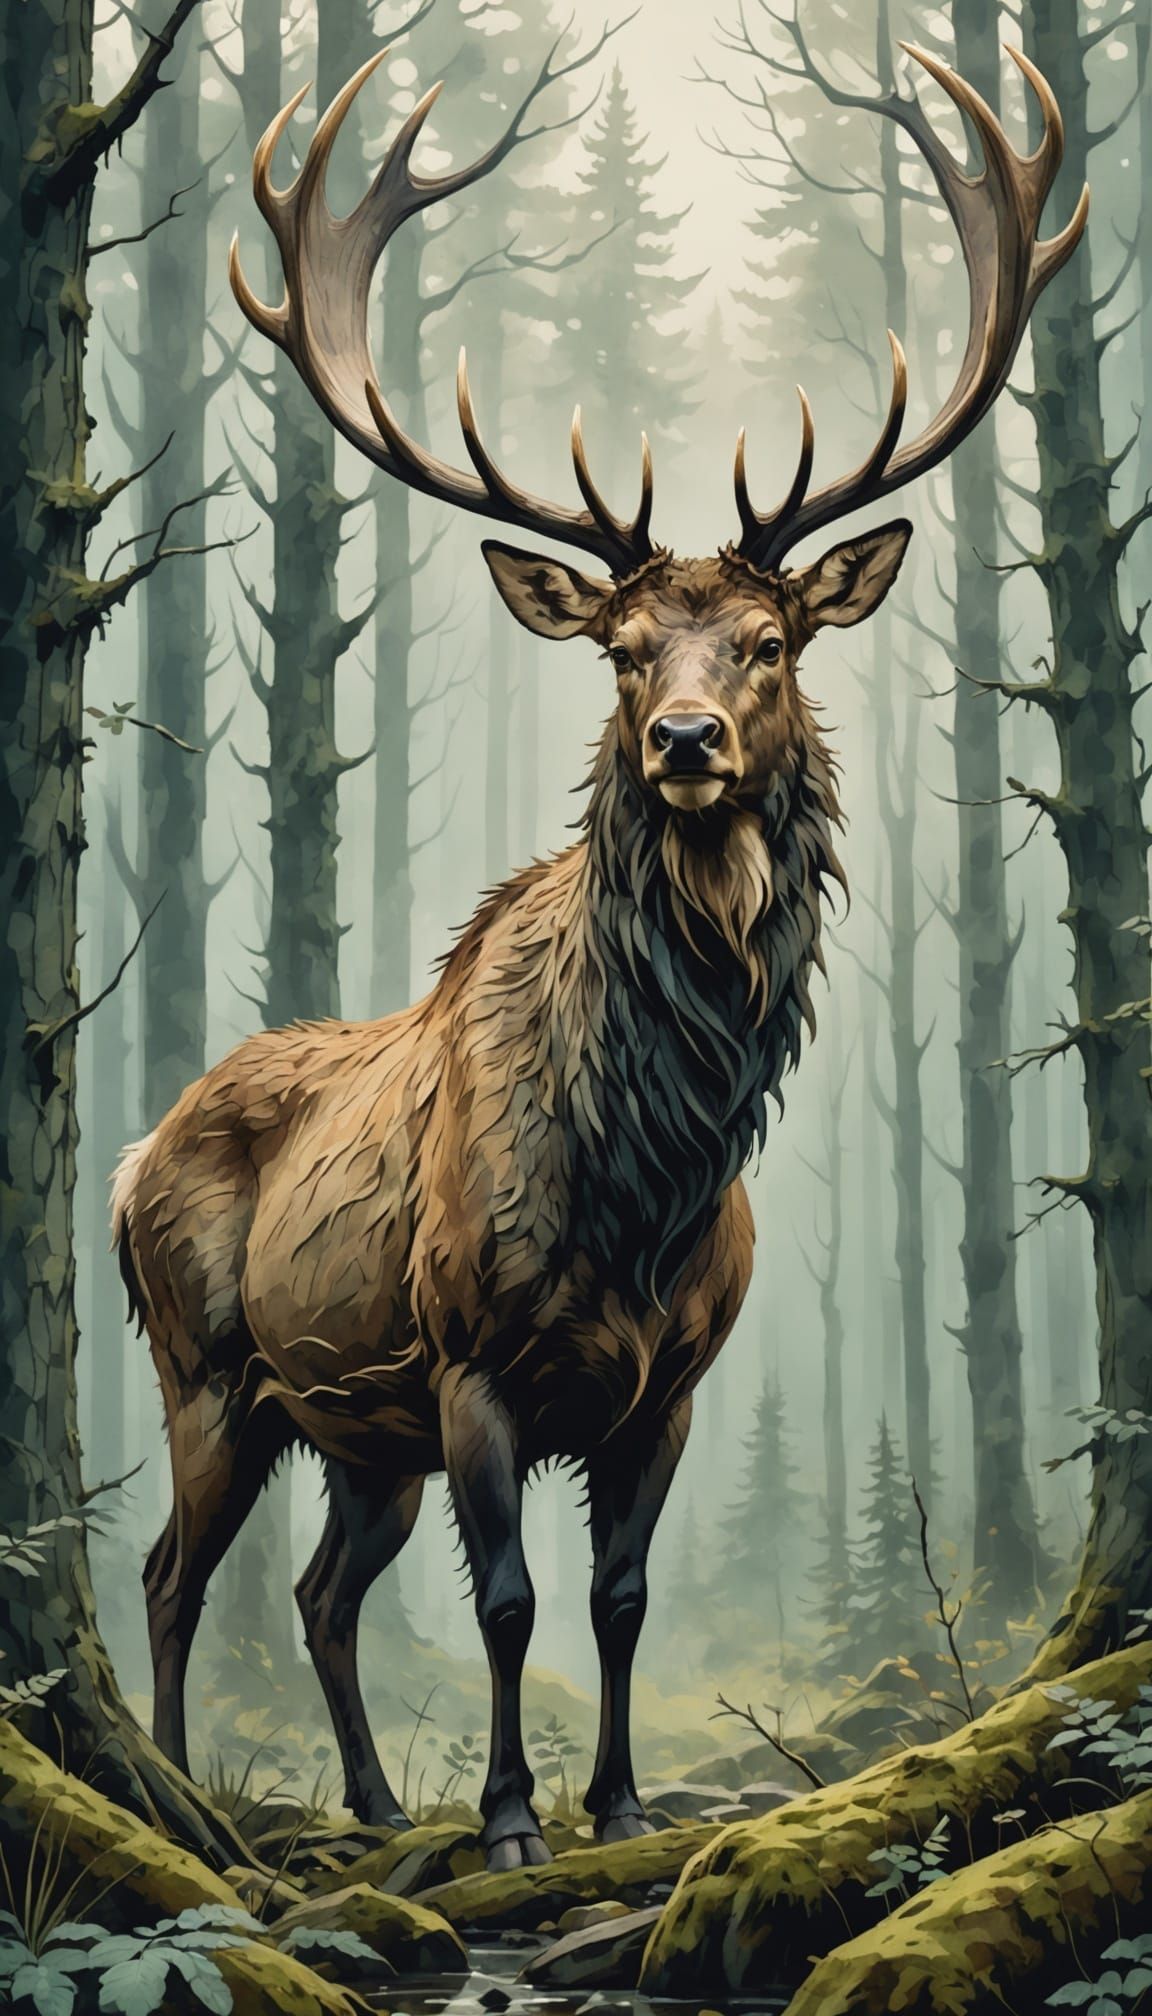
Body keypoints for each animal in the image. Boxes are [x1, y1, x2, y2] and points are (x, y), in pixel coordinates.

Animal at [112, 40, 1085, 1871]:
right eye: (625, 651)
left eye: (769, 640)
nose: (686, 739)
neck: (639, 1182)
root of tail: (133, 1148)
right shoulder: (474, 1358)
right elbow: (507, 1604)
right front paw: (509, 1819)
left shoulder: (669, 1385)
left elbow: (620, 1600)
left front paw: (620, 1804)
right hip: (211, 1368)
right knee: (168, 1572)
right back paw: (187, 1801)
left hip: (359, 1431)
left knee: (323, 1588)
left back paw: (367, 1805)